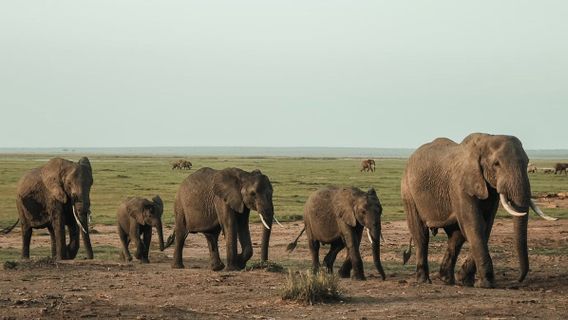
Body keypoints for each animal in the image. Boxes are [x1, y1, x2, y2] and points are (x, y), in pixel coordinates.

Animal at [402, 134, 556, 288]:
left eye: (527, 162)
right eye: (496, 164)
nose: (517, 280)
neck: (485, 141)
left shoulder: (490, 190)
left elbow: (485, 226)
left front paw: (465, 280)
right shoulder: (461, 185)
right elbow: (475, 225)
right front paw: (487, 283)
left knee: (456, 237)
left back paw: (446, 280)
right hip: (408, 190)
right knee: (421, 235)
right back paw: (424, 280)